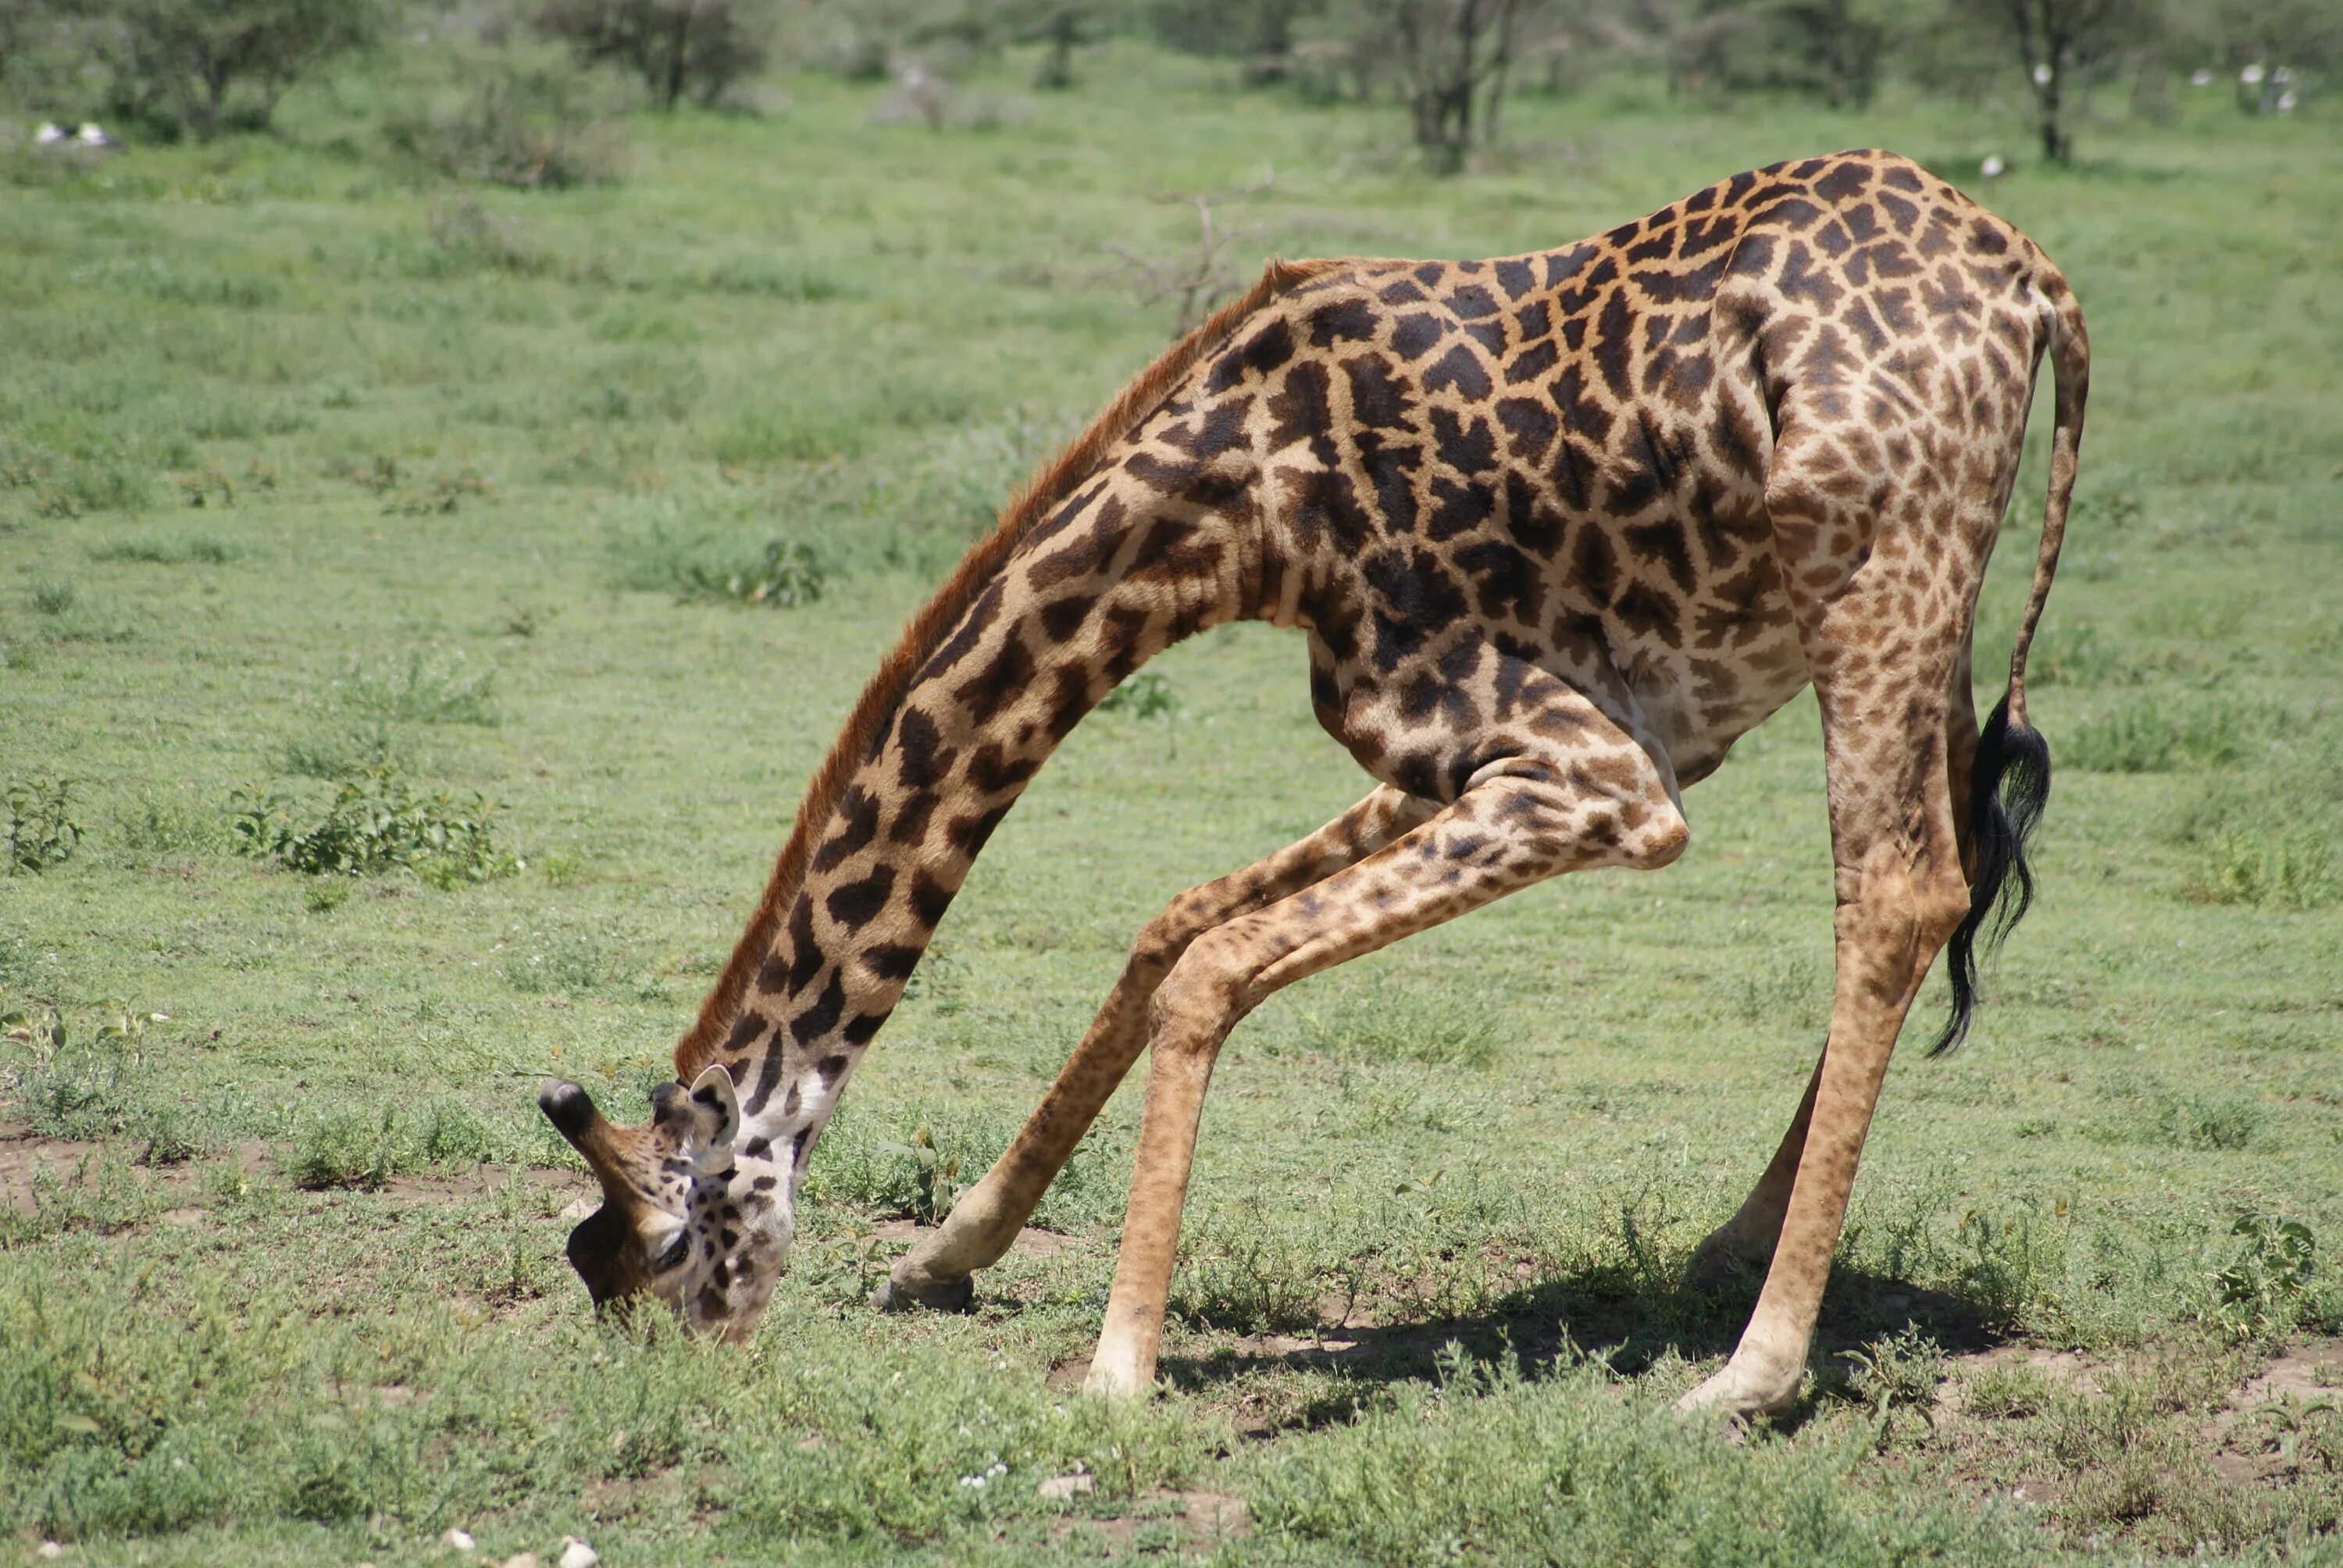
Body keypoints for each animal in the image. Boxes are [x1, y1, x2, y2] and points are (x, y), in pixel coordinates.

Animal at [544, 152, 2090, 1424]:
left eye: (668, 1244)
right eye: (599, 1266)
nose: (696, 1372)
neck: (1238, 513)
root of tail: (2037, 282)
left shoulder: (1598, 779)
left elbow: (1211, 967)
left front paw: (1117, 1368)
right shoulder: (1459, 753)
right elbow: (1169, 924)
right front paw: (947, 1252)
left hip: (1876, 576)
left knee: (1895, 892)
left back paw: (1749, 1376)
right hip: (1924, 609)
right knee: (1943, 862)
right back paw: (1730, 1247)